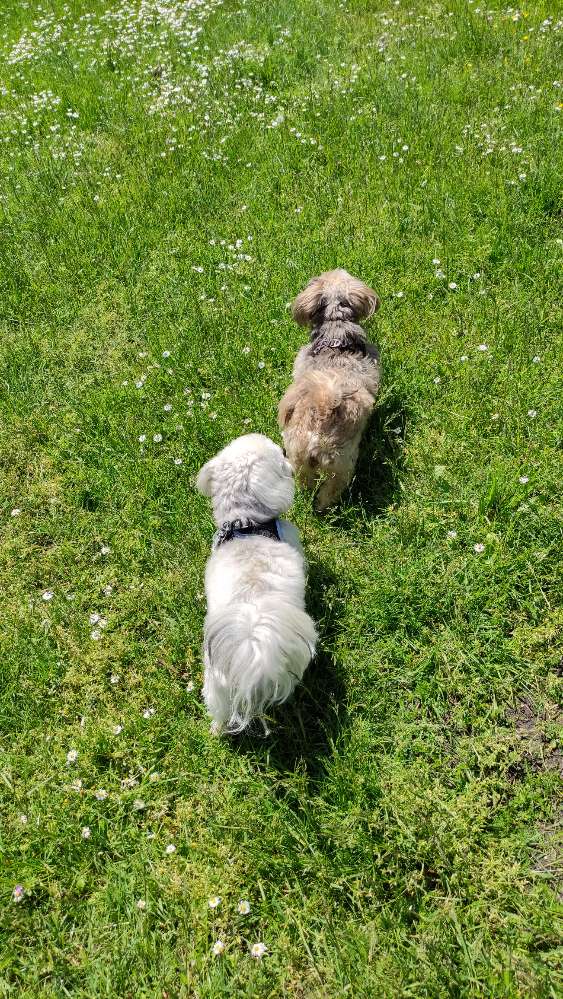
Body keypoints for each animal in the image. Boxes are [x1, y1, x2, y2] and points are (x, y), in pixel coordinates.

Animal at [196, 434, 317, 734]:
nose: (286, 452)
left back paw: (216, 730)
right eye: (279, 454)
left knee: (218, 710)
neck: (245, 523)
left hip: (215, 685)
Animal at [278, 269, 381, 511]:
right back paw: (324, 506)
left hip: (297, 455)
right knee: (332, 488)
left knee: (305, 481)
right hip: (342, 463)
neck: (336, 337)